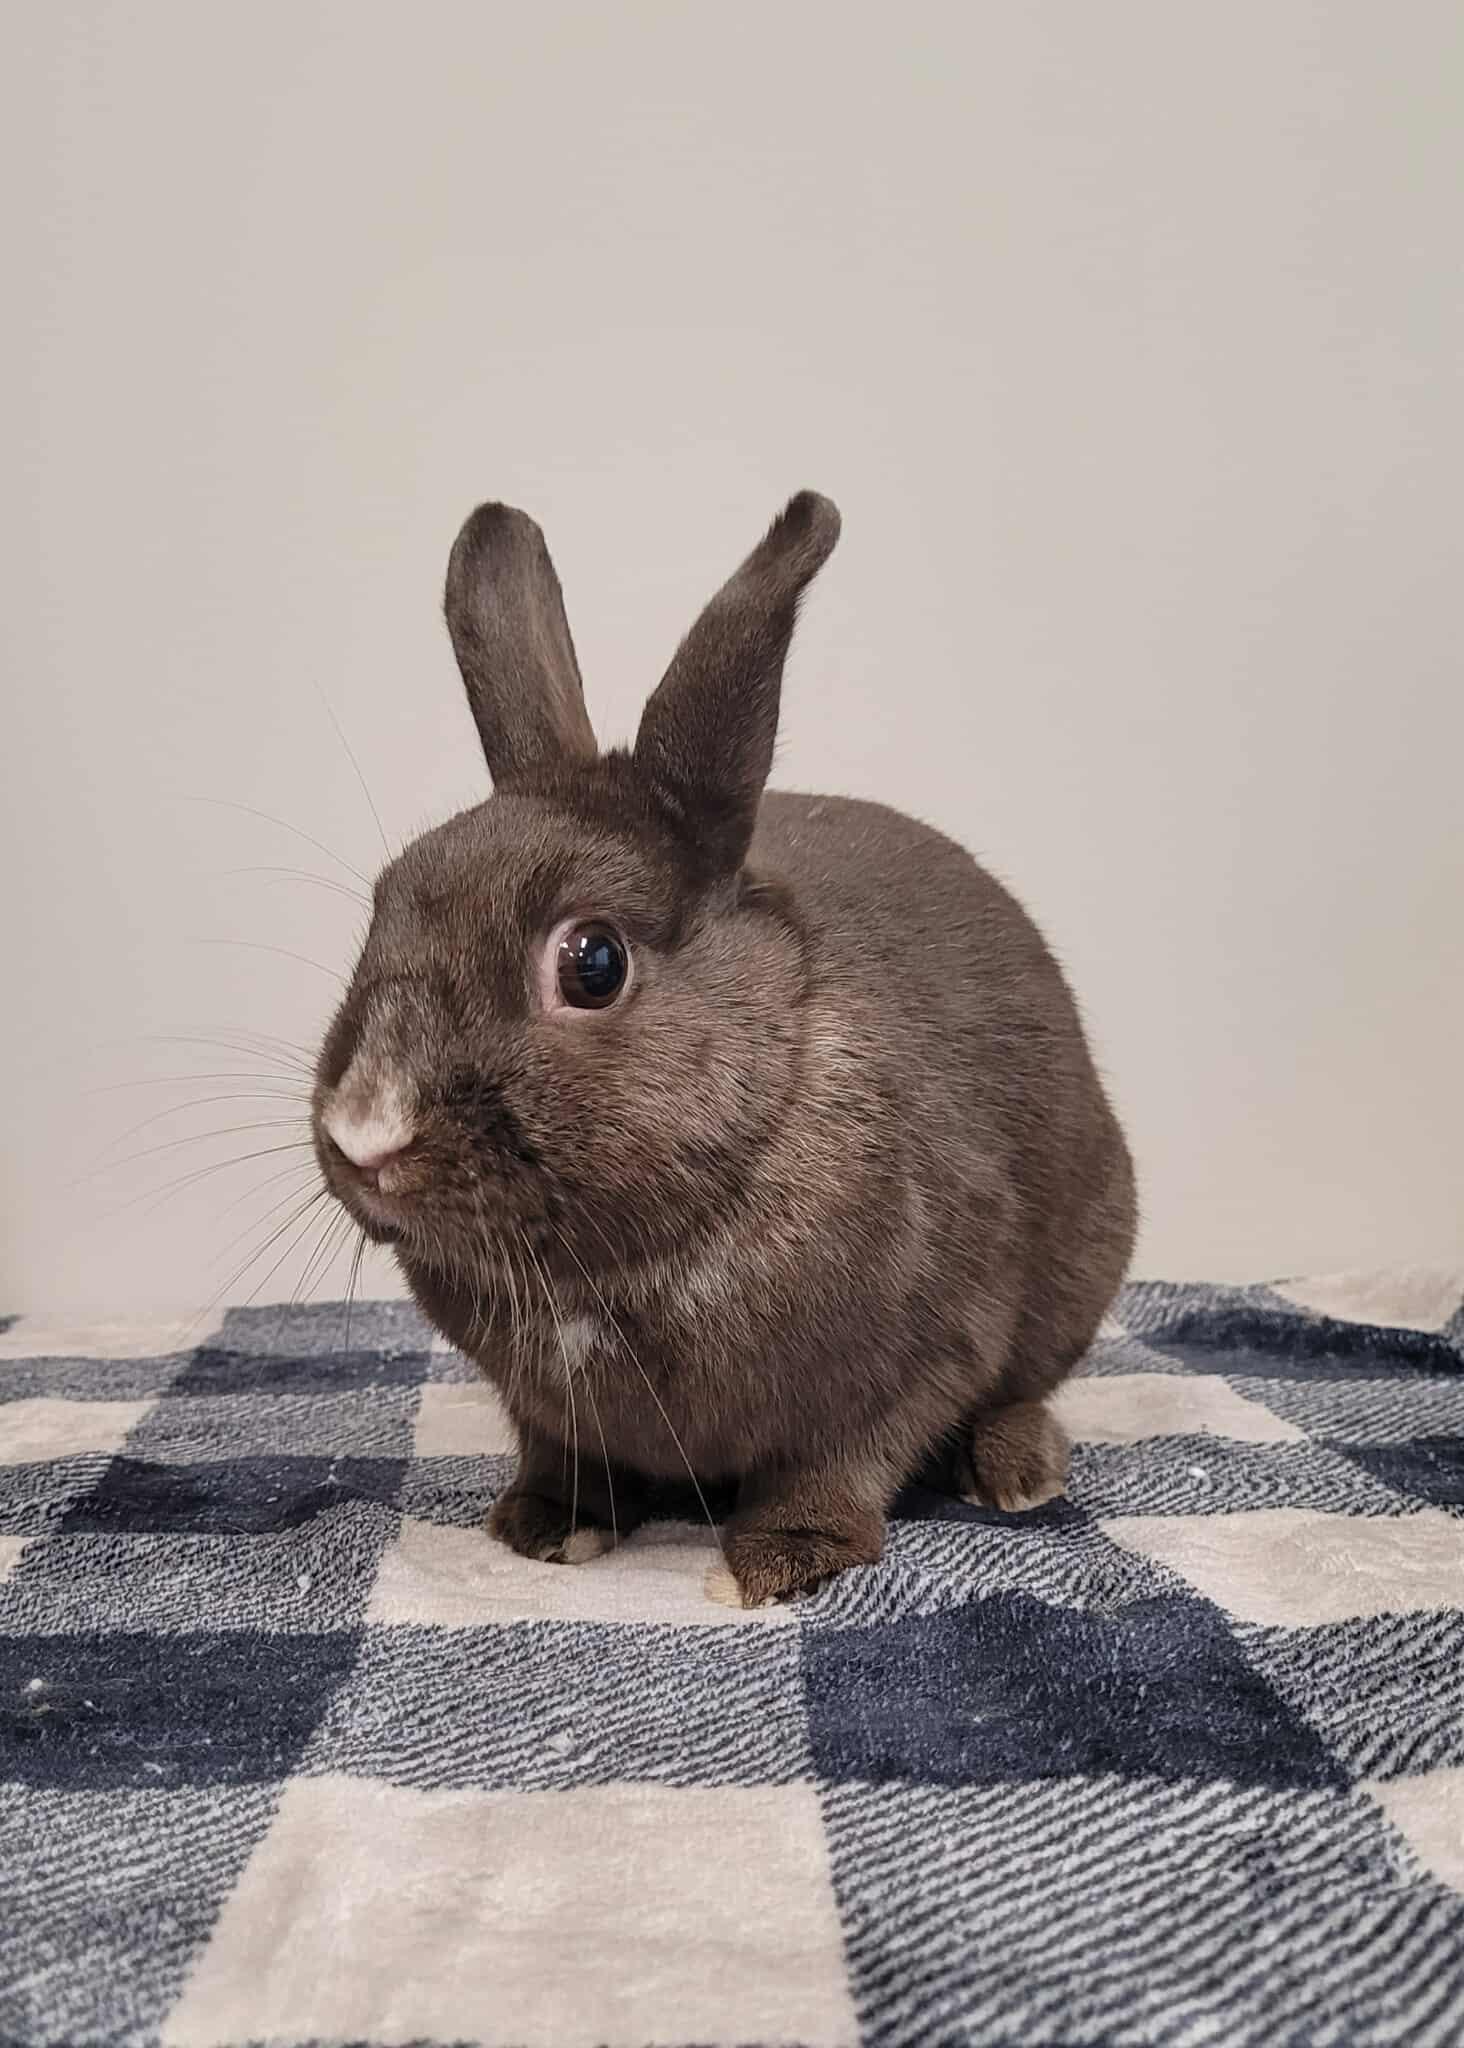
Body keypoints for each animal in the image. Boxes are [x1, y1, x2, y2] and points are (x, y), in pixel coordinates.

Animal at [311, 491, 1136, 1607]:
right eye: (384, 904)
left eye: (594, 963)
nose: (366, 1129)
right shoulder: (548, 1411)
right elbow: (563, 1453)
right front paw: (549, 1526)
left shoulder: (919, 1351)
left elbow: (842, 1461)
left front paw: (780, 1560)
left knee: (1021, 1389)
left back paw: (1015, 1471)